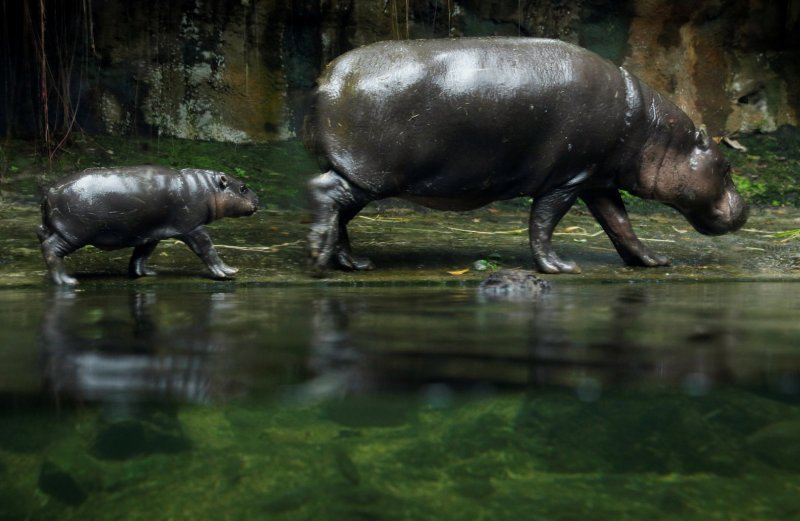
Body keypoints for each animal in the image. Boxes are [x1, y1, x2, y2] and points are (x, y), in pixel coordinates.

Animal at [38, 165, 260, 284]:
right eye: (243, 188)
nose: (258, 200)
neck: (207, 188)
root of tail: (49, 192)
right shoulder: (192, 228)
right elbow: (207, 249)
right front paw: (228, 272)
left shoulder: (151, 233)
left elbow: (141, 255)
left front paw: (145, 273)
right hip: (73, 234)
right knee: (51, 248)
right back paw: (67, 281)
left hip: (57, 229)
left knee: (43, 239)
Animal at [304, 36, 748, 272]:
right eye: (726, 167)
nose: (745, 209)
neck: (651, 131)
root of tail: (326, 76)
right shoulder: (568, 178)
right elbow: (544, 223)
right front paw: (560, 268)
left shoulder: (596, 179)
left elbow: (621, 225)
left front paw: (654, 261)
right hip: (371, 174)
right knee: (324, 193)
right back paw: (320, 258)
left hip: (357, 172)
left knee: (339, 213)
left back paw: (350, 262)